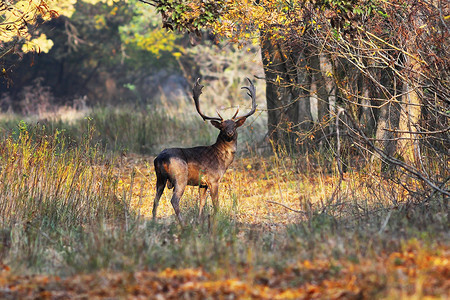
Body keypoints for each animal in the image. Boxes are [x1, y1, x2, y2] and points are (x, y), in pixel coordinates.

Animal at [152, 77, 256, 223]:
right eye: (222, 126)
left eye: (234, 125)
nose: (229, 132)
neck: (222, 161)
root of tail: (160, 158)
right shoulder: (213, 179)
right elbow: (216, 204)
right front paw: (217, 220)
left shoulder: (203, 184)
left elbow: (201, 202)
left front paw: (199, 221)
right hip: (180, 177)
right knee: (174, 200)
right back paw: (182, 223)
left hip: (159, 178)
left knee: (155, 200)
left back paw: (154, 221)